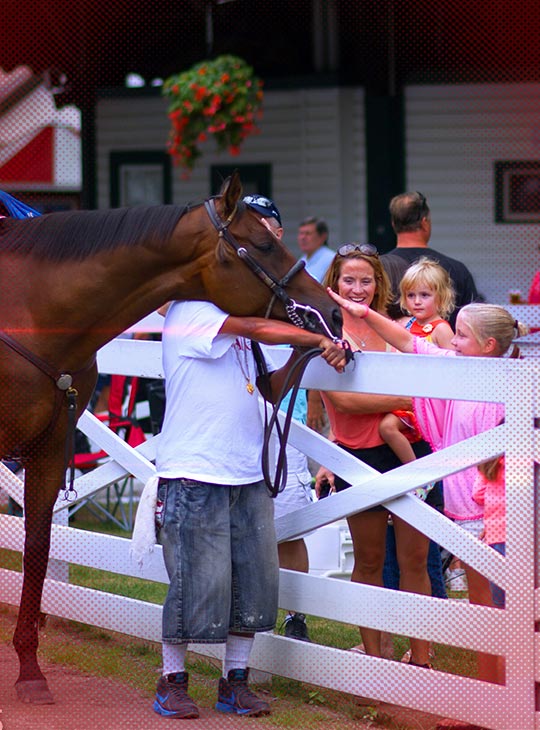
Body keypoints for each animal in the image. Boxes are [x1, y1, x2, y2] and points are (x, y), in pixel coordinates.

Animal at [0, 173, 340, 704]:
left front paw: (30, 673)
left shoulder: (49, 451)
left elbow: (36, 548)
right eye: (264, 244)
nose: (332, 312)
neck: (30, 313)